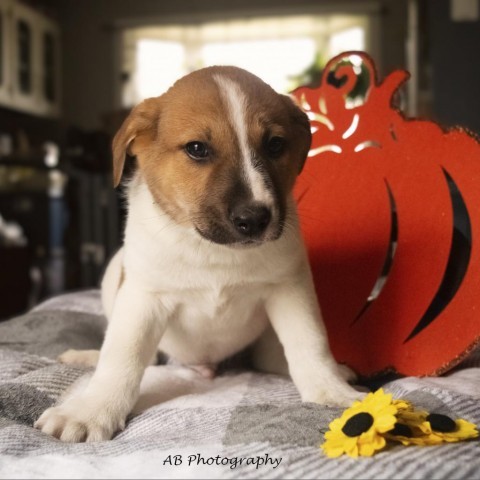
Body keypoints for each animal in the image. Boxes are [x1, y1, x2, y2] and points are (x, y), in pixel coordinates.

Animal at [34, 65, 364, 440]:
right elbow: (121, 357)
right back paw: (85, 356)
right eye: (197, 149)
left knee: (269, 357)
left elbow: (310, 344)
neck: (212, 250)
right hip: (113, 275)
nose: (254, 219)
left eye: (275, 145)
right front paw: (91, 410)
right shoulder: (142, 298)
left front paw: (331, 391)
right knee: (143, 358)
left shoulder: (290, 289)